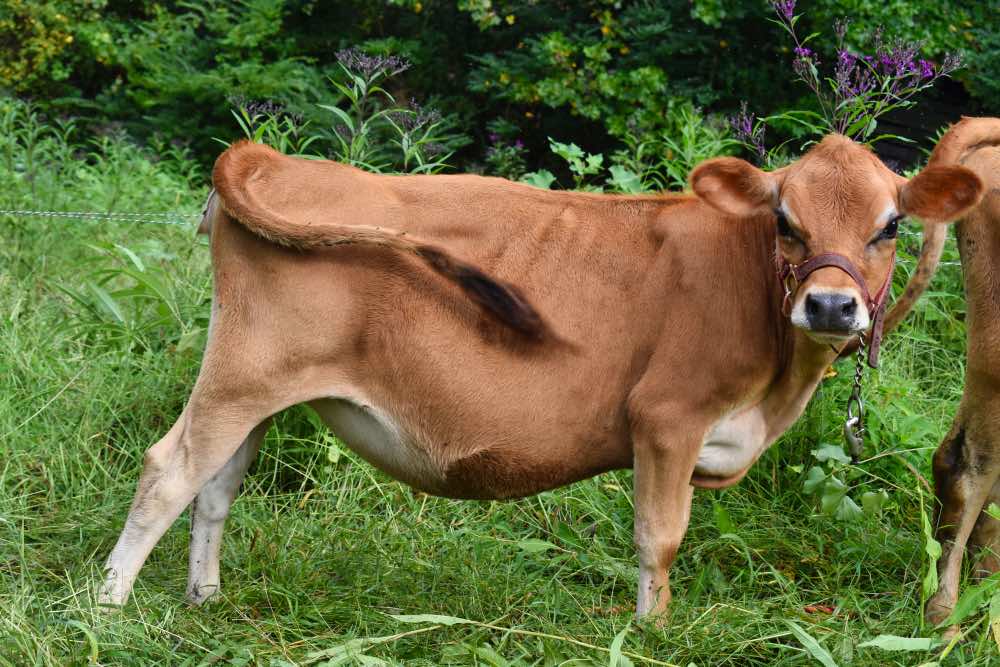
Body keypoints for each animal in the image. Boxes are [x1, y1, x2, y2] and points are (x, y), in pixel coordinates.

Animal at [98, 127, 983, 618]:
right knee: (169, 469)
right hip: (246, 373)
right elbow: (660, 537)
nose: (832, 306)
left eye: (890, 225)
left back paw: (205, 597)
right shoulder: (666, 416)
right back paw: (106, 608)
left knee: (217, 482)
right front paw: (649, 631)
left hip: (258, 380)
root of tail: (277, 157)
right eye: (785, 220)